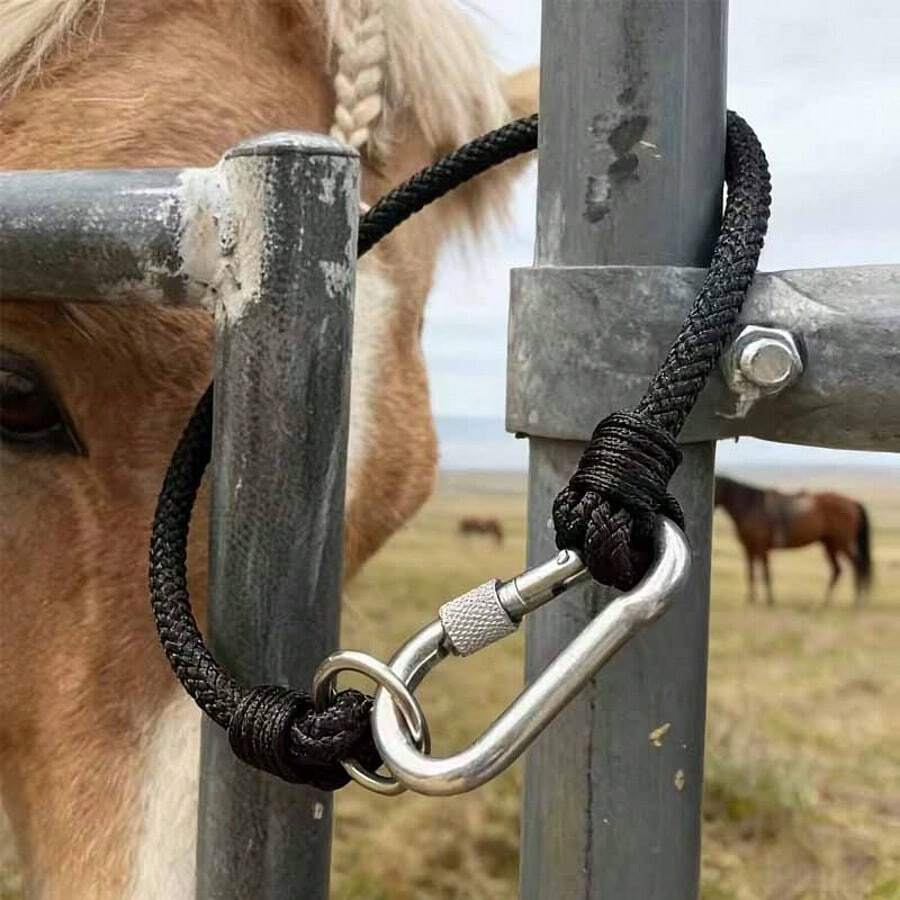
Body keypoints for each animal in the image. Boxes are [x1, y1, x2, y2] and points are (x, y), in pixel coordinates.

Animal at [713, 475, 872, 607]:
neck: (751, 507)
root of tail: (853, 502)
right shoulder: (749, 548)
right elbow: (750, 573)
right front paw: (751, 600)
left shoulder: (762, 548)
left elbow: (766, 574)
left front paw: (770, 601)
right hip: (830, 545)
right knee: (837, 570)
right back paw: (825, 602)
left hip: (842, 543)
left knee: (857, 565)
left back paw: (856, 602)